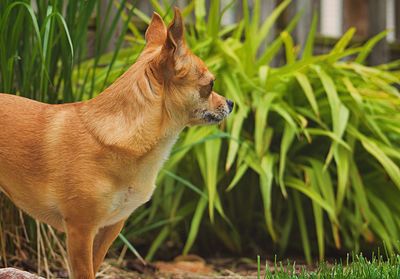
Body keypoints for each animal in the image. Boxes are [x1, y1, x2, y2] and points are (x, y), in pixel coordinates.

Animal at [0, 8, 231, 279]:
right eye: (210, 85)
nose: (230, 102)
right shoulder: (81, 229)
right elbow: (84, 272)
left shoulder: (108, 229)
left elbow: (93, 265)